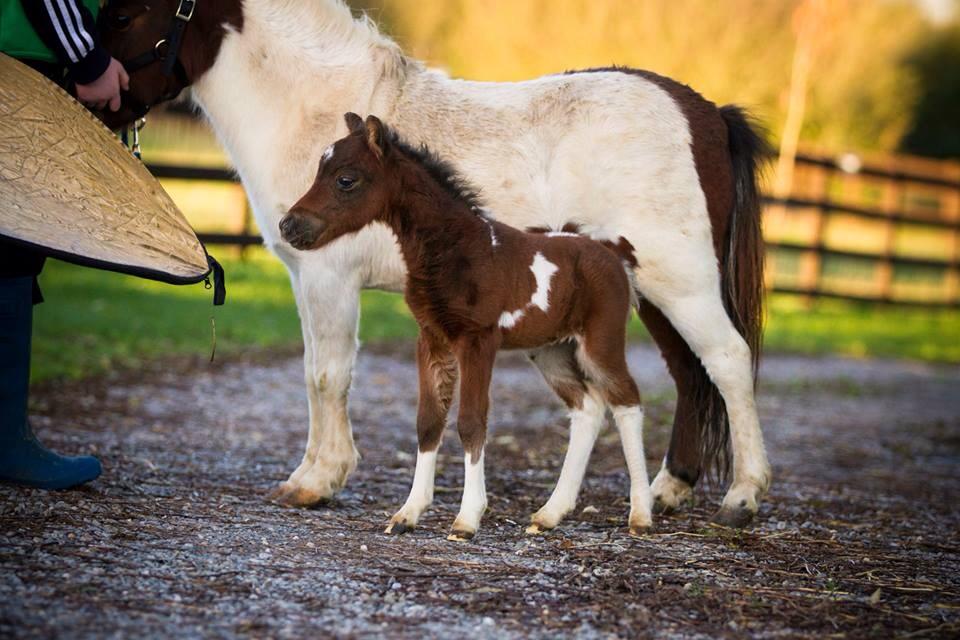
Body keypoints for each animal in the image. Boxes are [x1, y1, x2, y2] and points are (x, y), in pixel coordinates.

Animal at [281, 112, 652, 540]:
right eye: (317, 172)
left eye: (345, 179)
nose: (289, 226)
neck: (457, 250)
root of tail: (611, 254)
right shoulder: (432, 338)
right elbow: (429, 421)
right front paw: (408, 513)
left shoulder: (478, 340)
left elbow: (472, 422)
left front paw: (467, 518)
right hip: (550, 350)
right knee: (587, 408)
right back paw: (549, 513)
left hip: (600, 340)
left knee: (626, 400)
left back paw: (641, 514)